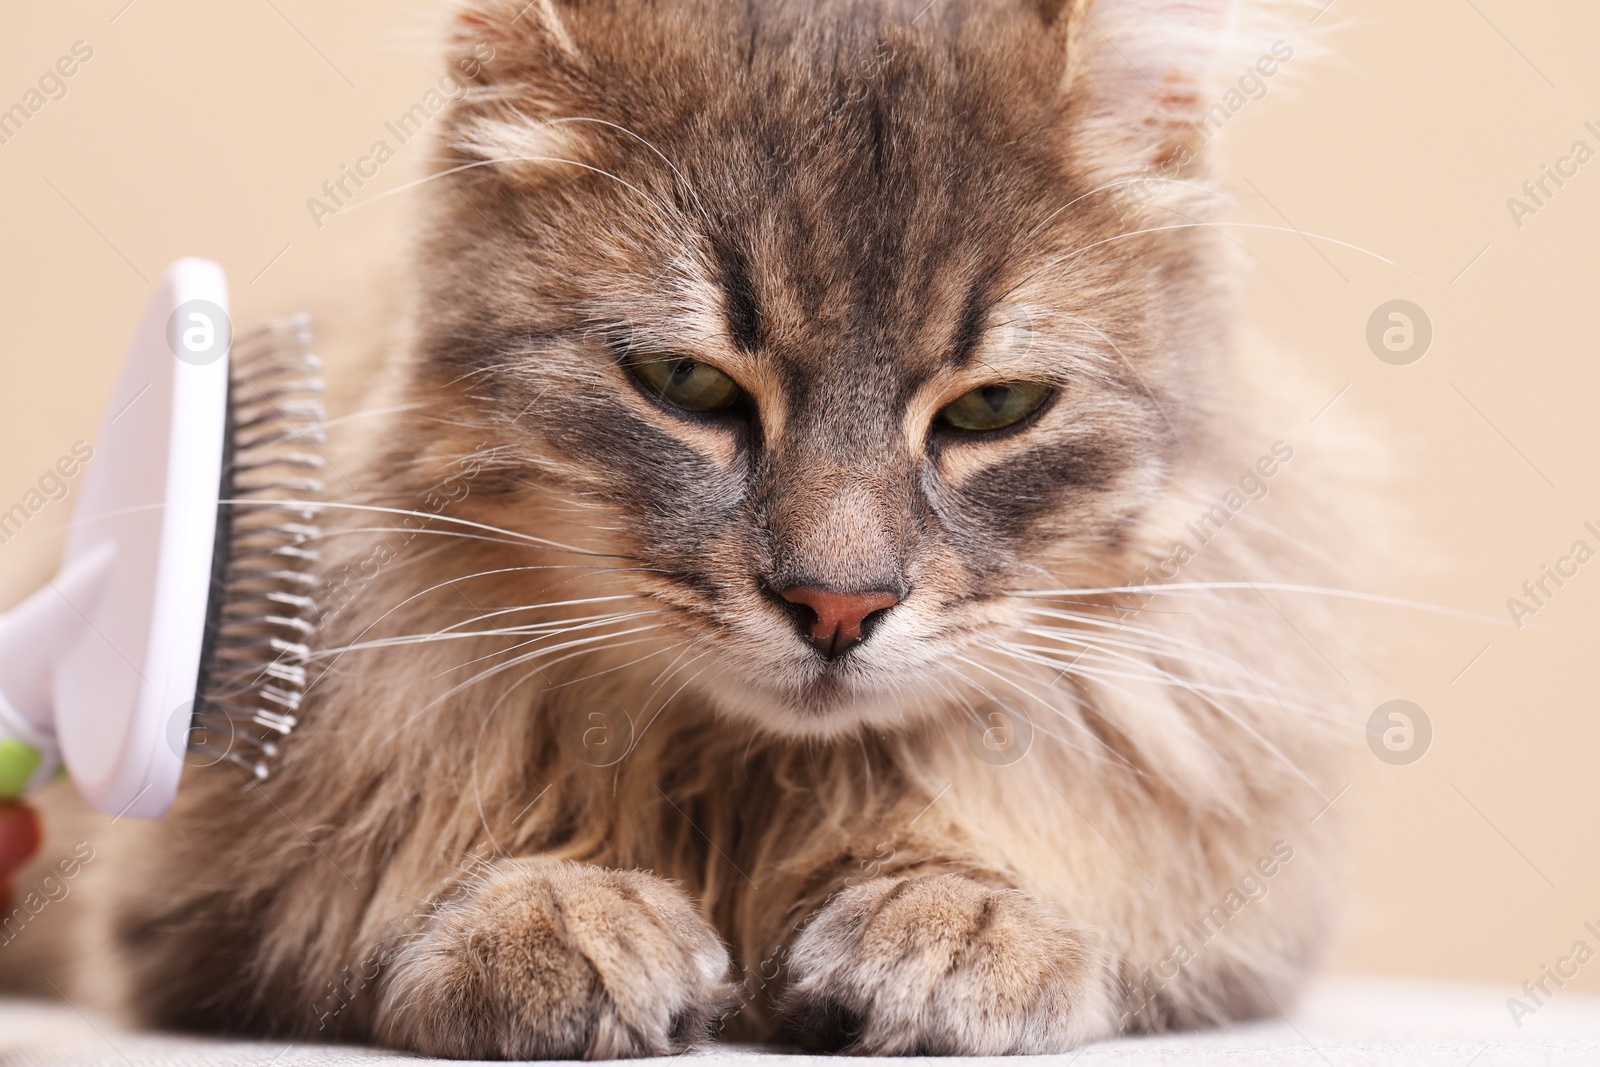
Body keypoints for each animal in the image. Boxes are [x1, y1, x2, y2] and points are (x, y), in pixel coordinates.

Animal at [40, 0, 1363, 1055]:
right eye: (685, 384)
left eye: (993, 408)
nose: (838, 604)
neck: (741, 781)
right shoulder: (206, 895)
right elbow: (420, 867)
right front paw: (553, 912)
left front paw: (953, 918)